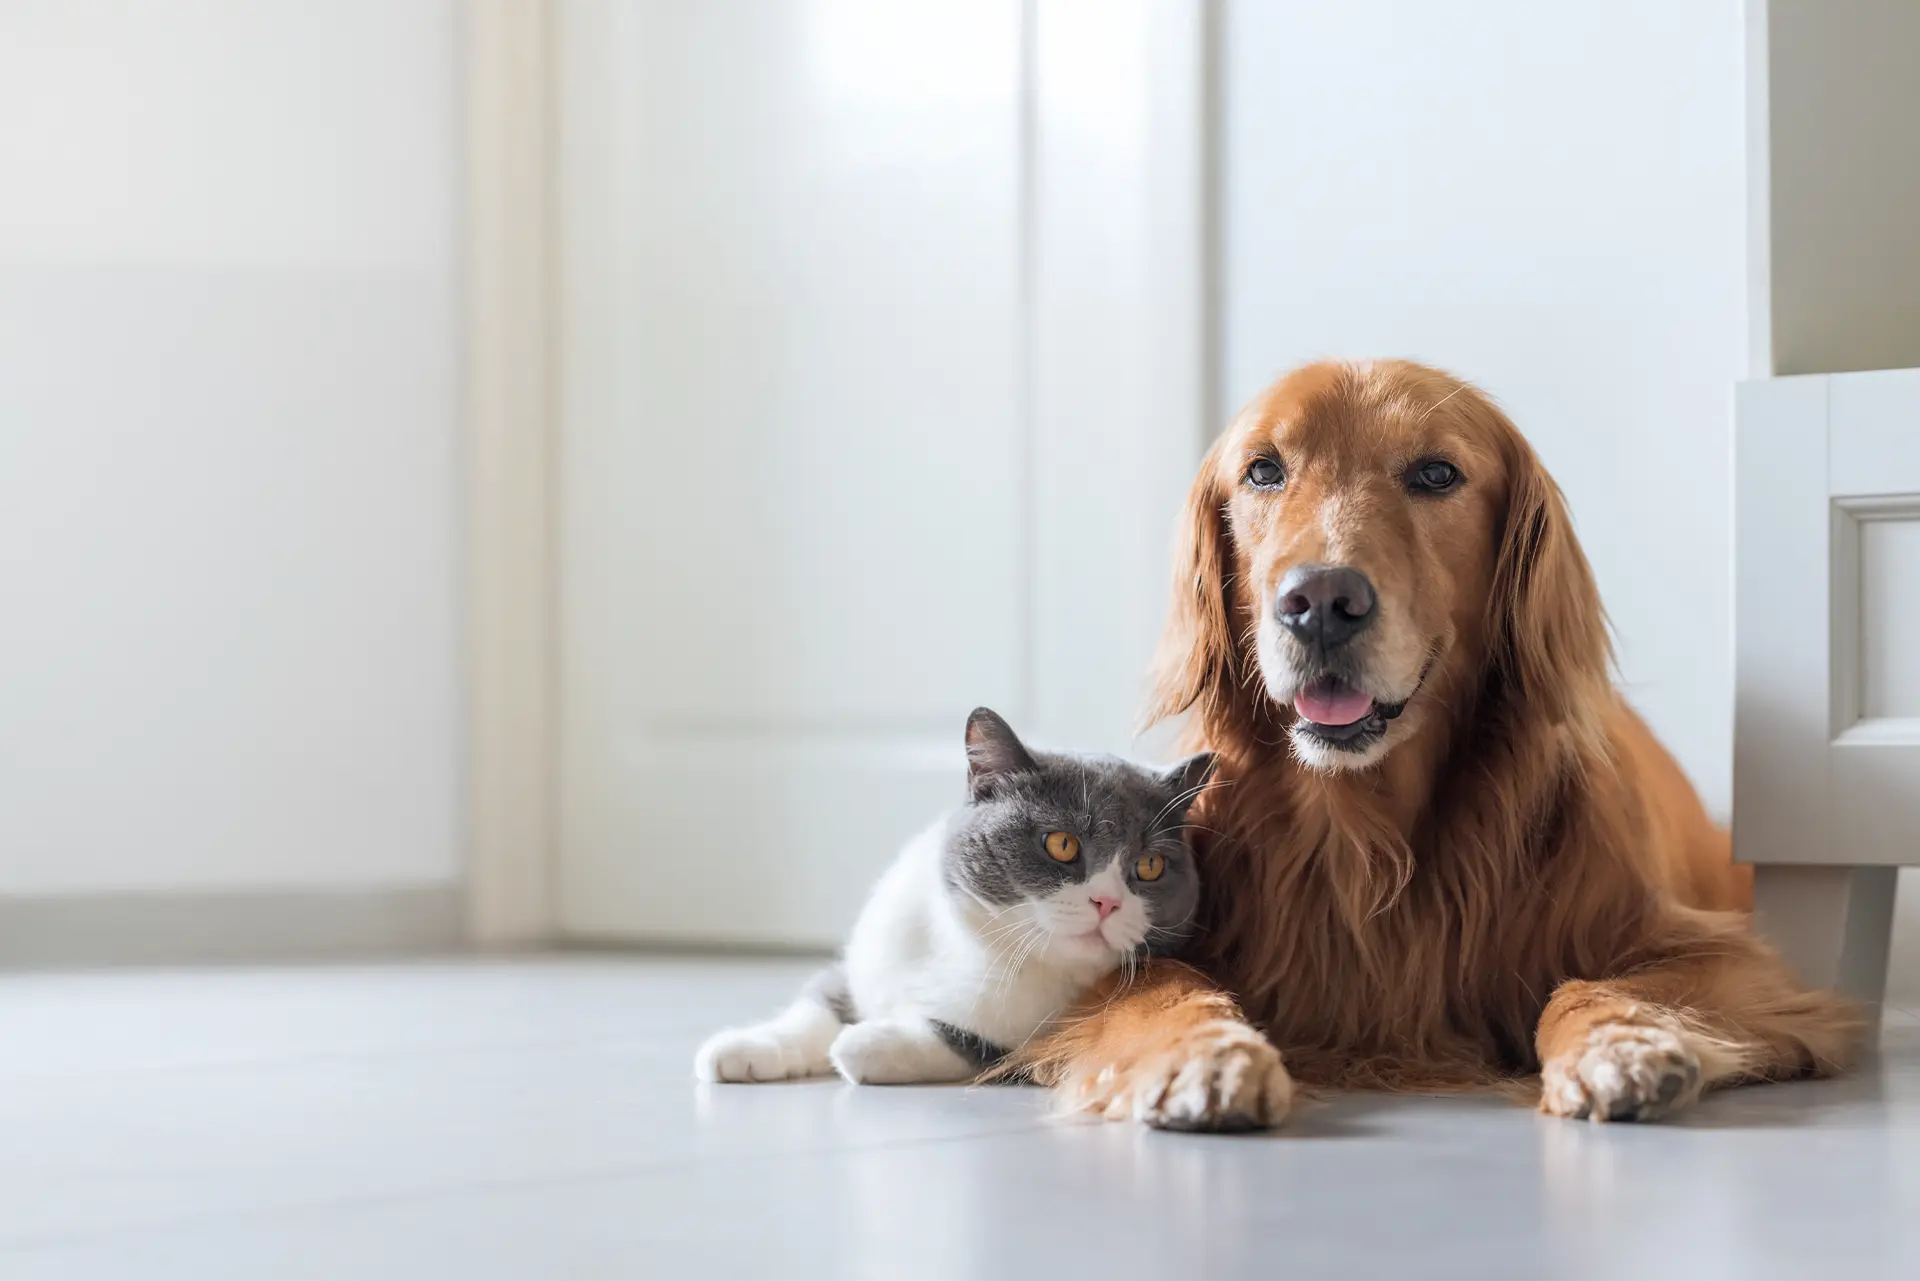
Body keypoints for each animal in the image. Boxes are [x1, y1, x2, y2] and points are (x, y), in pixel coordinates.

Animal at [691, 706, 1205, 1090]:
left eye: (1149, 866)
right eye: (1062, 844)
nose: (1107, 903)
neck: (977, 948)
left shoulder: (1033, 1037)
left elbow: (960, 1041)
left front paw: (863, 1042)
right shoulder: (866, 959)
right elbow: (817, 1004)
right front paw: (742, 1049)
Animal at [1021, 355, 1858, 1129]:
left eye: (1435, 473)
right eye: (1263, 470)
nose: (1320, 601)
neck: (1371, 839)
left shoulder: (1731, 958)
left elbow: (1587, 984)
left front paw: (1619, 1043)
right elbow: (1162, 987)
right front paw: (1202, 1054)